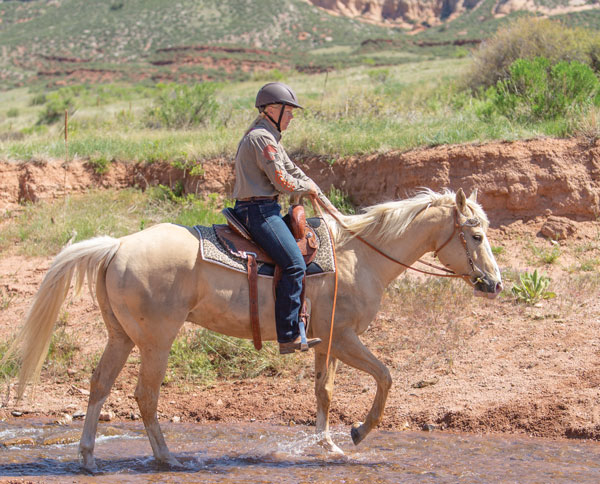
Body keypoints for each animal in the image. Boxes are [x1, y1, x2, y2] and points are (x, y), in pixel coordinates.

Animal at [7, 187, 502, 470]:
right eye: (476, 235)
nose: (495, 284)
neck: (360, 255)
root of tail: (116, 247)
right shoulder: (344, 338)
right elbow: (385, 376)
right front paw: (359, 433)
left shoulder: (325, 342)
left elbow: (324, 392)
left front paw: (327, 445)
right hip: (156, 342)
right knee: (145, 396)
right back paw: (168, 458)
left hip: (121, 337)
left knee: (99, 386)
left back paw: (88, 460)